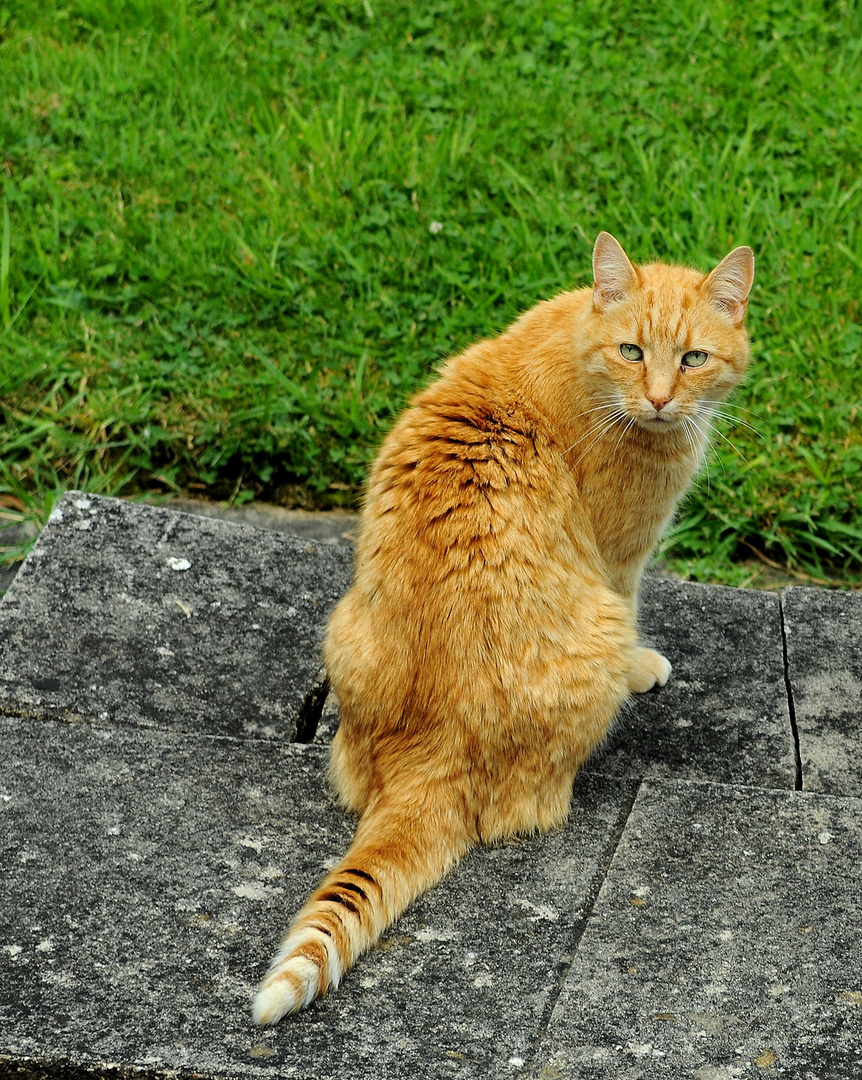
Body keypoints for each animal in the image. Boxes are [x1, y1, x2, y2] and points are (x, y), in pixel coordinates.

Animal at [251, 232, 756, 1023]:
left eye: (694, 358)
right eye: (633, 351)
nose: (660, 398)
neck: (583, 352)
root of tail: (427, 754)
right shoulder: (619, 561)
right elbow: (635, 611)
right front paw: (644, 666)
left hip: (342, 628)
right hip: (591, 641)